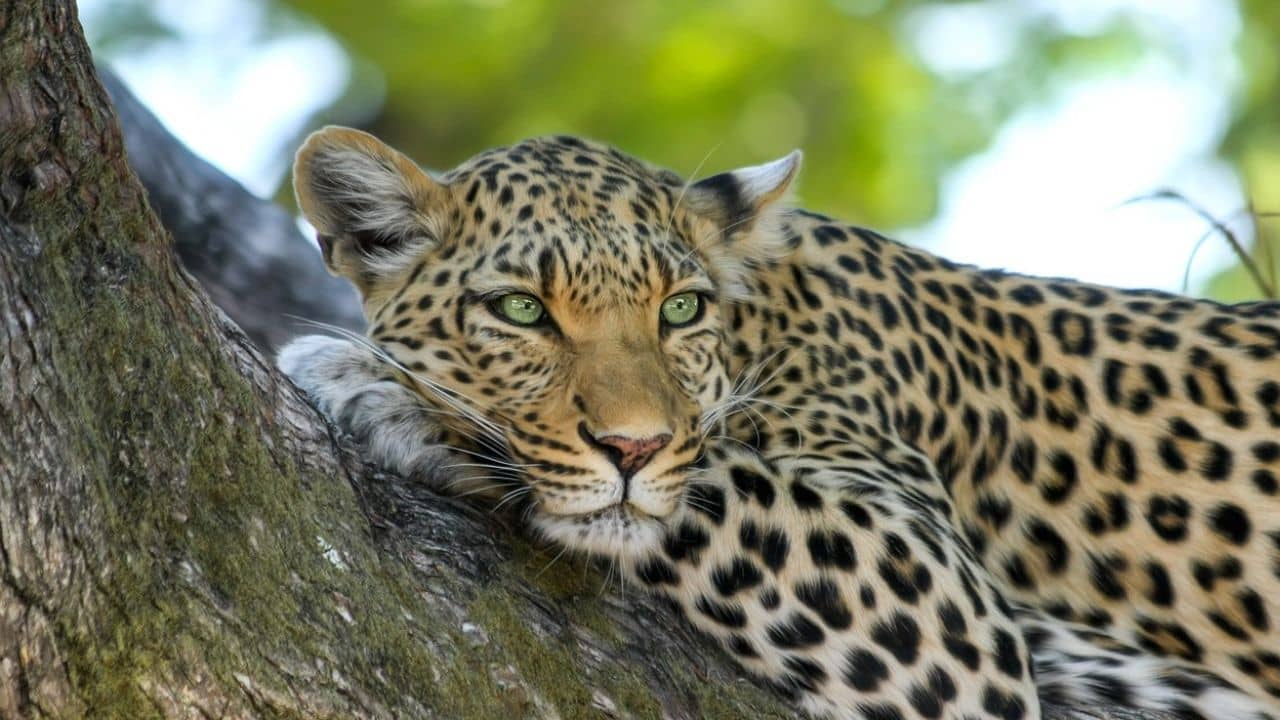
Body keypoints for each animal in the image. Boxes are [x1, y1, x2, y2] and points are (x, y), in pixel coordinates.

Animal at [277, 125, 1280, 720]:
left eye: (680, 310)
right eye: (522, 311)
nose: (633, 446)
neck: (764, 324)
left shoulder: (941, 606)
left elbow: (711, 480)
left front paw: (379, 387)